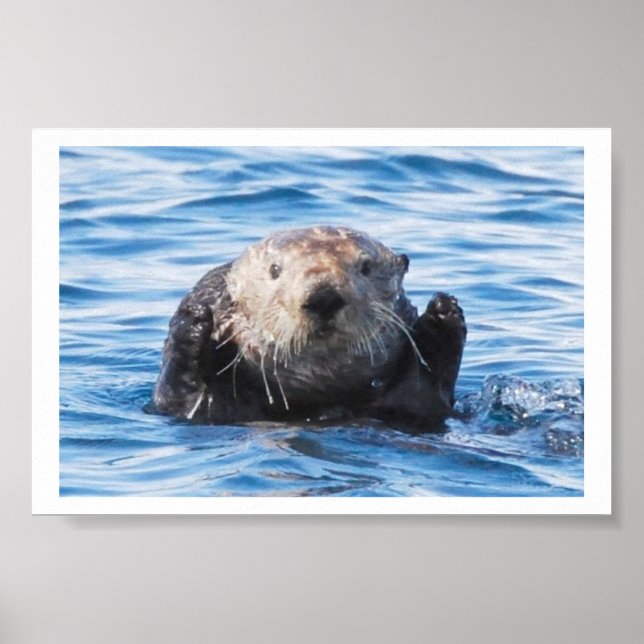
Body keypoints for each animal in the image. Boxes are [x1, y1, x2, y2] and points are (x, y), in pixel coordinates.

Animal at [152, 226, 466, 432]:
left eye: (365, 267)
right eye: (275, 270)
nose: (323, 297)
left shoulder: (414, 406)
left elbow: (424, 395)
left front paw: (443, 312)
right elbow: (183, 397)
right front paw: (194, 317)